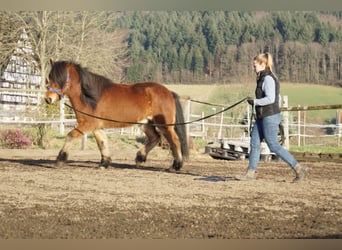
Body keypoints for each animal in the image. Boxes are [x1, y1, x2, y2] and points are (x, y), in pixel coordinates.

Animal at [44, 60, 188, 170]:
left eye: (59, 79)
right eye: (49, 78)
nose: (48, 99)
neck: (90, 97)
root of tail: (169, 92)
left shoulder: (88, 124)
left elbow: (70, 136)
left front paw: (59, 160)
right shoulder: (97, 126)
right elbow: (102, 143)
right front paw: (104, 163)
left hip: (165, 125)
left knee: (175, 141)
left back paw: (176, 165)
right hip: (145, 123)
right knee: (155, 138)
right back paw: (139, 158)